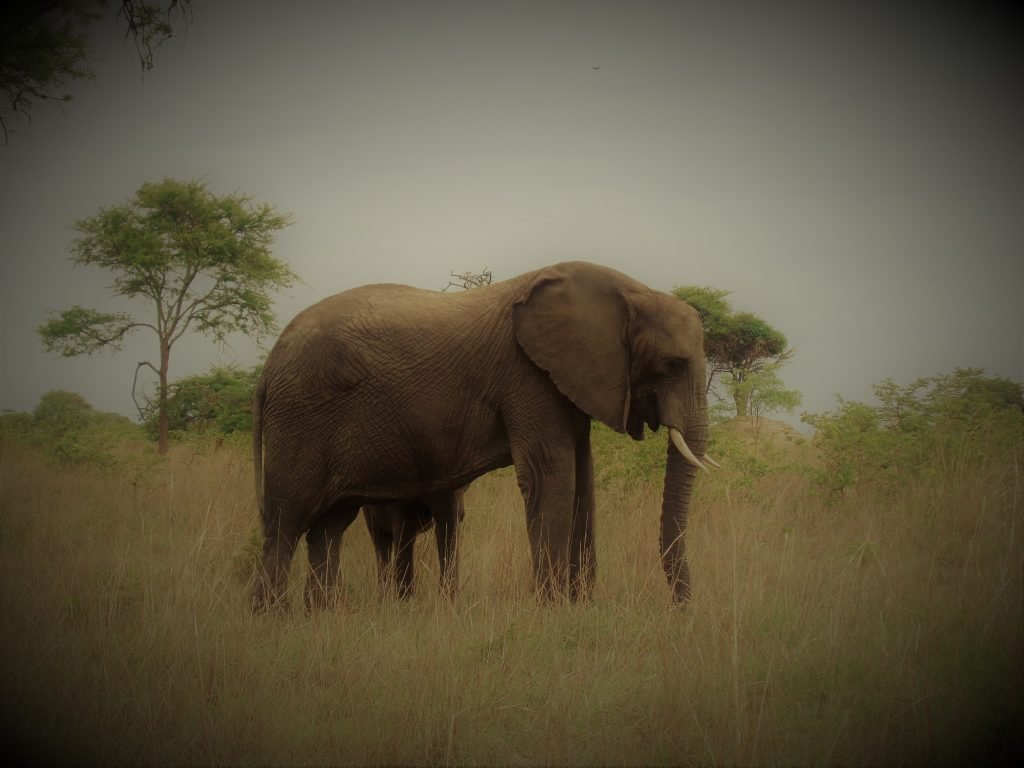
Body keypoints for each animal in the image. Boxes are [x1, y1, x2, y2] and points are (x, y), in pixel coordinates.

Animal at [252, 260, 710, 611]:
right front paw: (554, 613)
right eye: (671, 365)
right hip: (299, 420)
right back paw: (274, 620)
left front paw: (582, 608)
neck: (632, 293)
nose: (681, 610)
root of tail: (268, 367)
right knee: (286, 522)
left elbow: (583, 477)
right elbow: (551, 475)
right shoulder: (527, 376)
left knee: (329, 526)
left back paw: (323, 617)